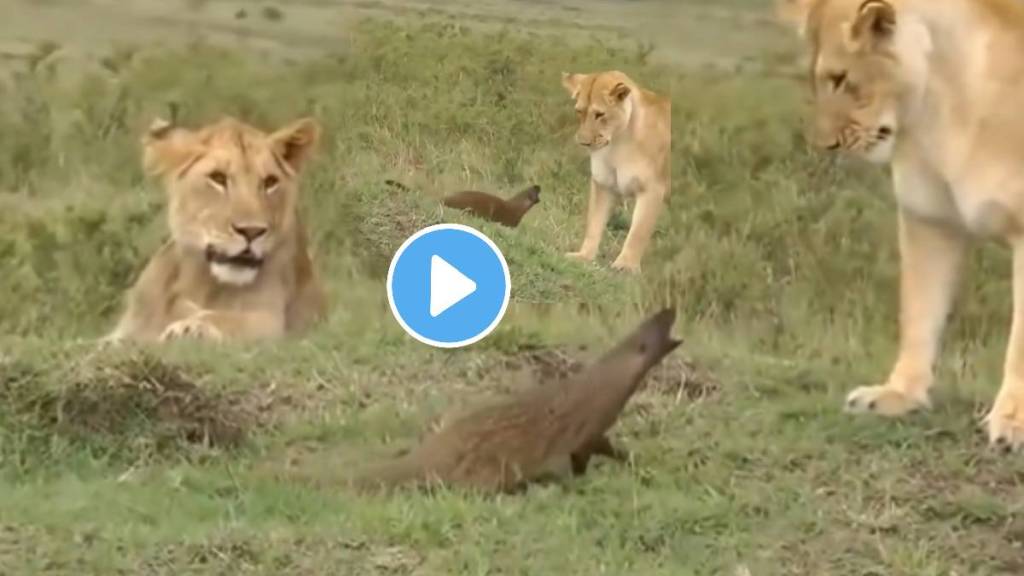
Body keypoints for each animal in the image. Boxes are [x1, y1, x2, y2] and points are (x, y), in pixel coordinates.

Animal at [106, 115, 327, 343]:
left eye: (270, 182)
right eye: (218, 178)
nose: (251, 231)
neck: (200, 283)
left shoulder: (271, 320)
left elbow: (227, 320)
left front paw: (187, 328)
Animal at [560, 70, 671, 273]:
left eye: (600, 114)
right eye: (579, 111)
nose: (583, 143)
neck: (618, 143)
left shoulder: (653, 189)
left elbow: (639, 231)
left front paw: (626, 266)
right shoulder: (603, 183)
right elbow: (594, 223)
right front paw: (583, 256)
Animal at [779, 0, 1024, 449]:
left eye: (841, 78)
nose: (825, 146)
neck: (944, 108)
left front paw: (1012, 421)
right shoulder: (928, 219)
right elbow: (919, 311)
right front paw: (898, 394)